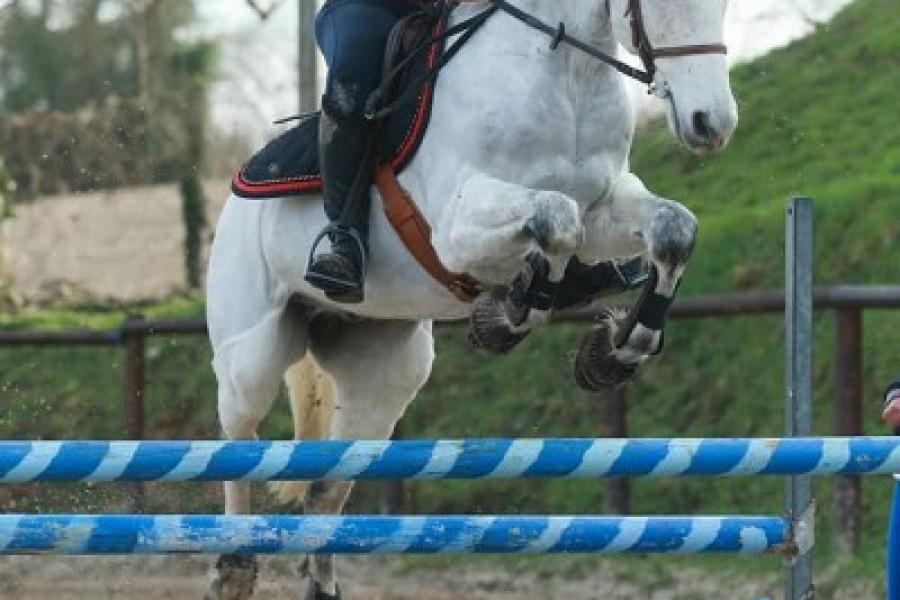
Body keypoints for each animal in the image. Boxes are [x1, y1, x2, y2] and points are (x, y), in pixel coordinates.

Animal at [206, 1, 740, 596]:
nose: (712, 123)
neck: (568, 74)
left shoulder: (606, 208)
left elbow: (671, 230)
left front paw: (612, 350)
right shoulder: (458, 223)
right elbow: (557, 220)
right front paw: (505, 317)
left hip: (384, 377)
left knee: (326, 492)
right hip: (252, 354)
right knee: (238, 439)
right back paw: (234, 566)